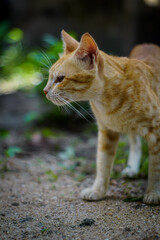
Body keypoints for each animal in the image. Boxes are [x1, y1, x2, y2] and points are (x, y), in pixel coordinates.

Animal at [43, 30, 160, 204]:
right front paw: (98, 191)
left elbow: (155, 166)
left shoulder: (156, 131)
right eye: (50, 76)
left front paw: (153, 192)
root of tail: (148, 44)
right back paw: (132, 169)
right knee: (135, 142)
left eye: (60, 78)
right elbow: (103, 163)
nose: (44, 91)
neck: (107, 103)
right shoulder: (106, 132)